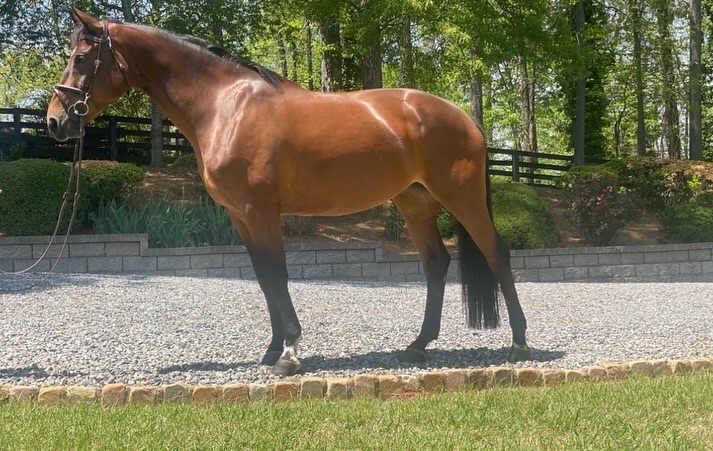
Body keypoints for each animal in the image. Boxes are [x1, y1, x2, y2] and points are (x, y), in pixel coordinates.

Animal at [47, 8, 532, 376]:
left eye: (82, 58)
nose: (56, 120)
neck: (226, 106)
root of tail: (466, 119)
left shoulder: (260, 210)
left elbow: (278, 276)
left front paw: (290, 353)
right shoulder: (239, 215)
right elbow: (264, 279)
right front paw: (271, 349)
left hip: (463, 199)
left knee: (496, 254)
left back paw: (520, 344)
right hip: (415, 204)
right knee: (436, 264)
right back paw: (417, 346)